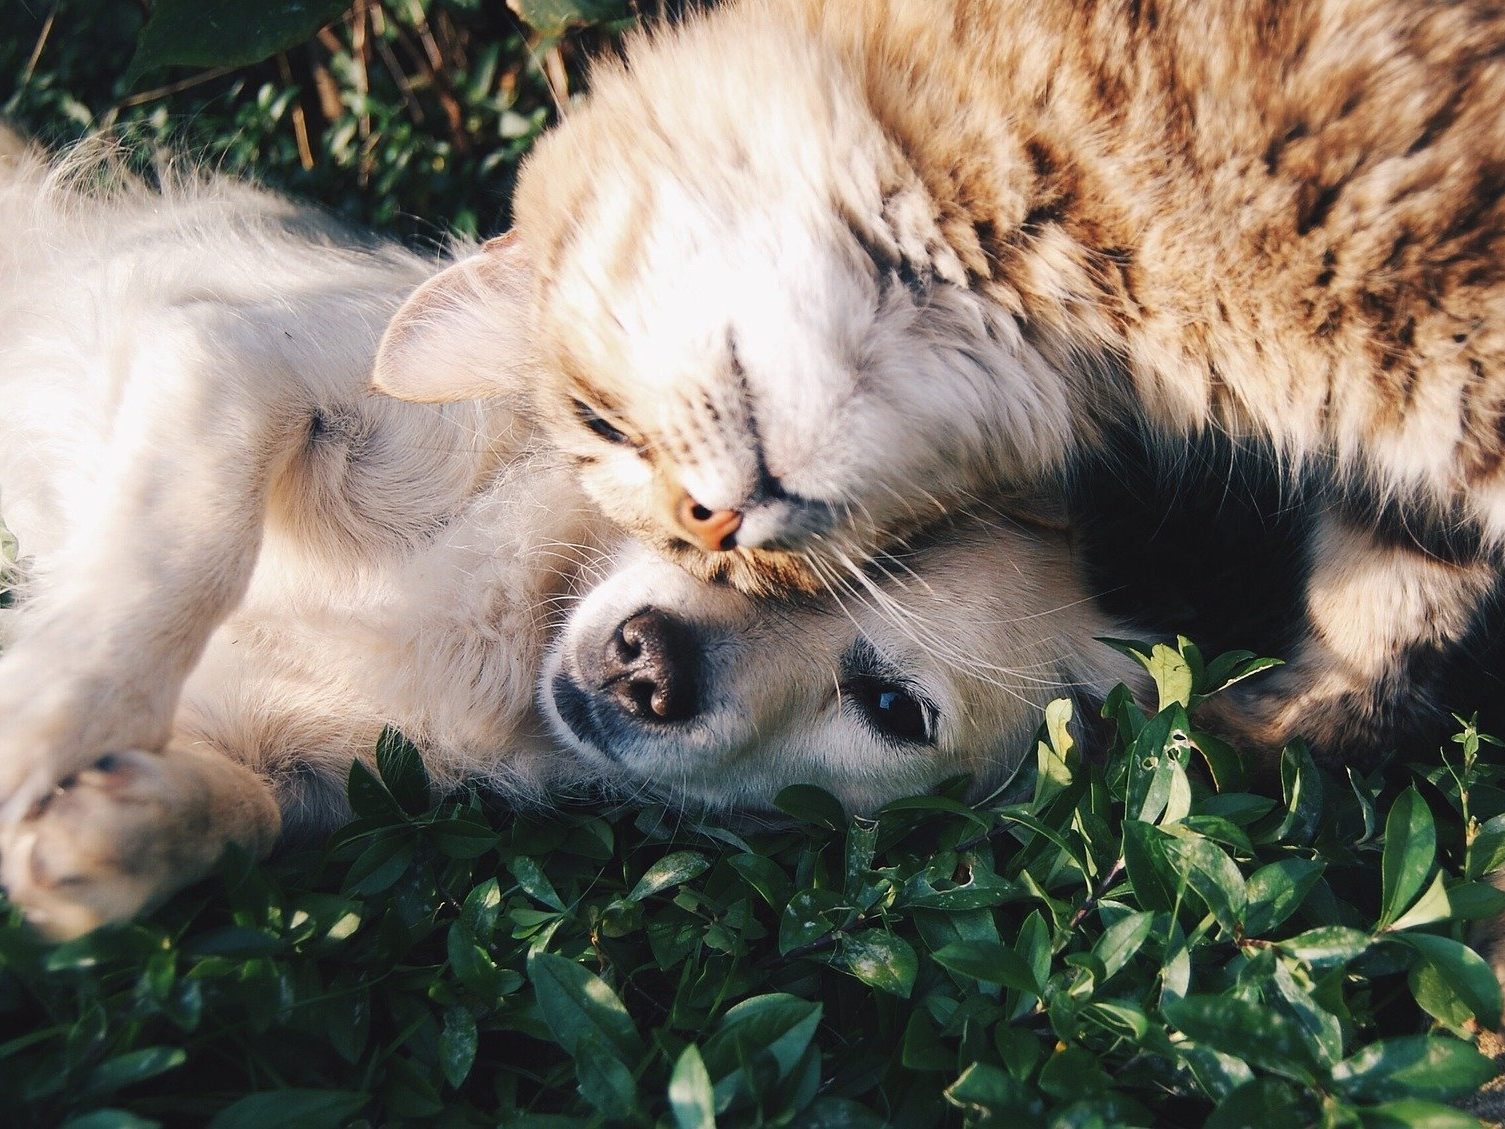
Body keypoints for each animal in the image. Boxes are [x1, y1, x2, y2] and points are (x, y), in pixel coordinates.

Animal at [373, 0, 1505, 770]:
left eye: (600, 423)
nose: (710, 526)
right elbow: (1387, 596)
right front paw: (1283, 733)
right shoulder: (1412, 458)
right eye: (717, 562)